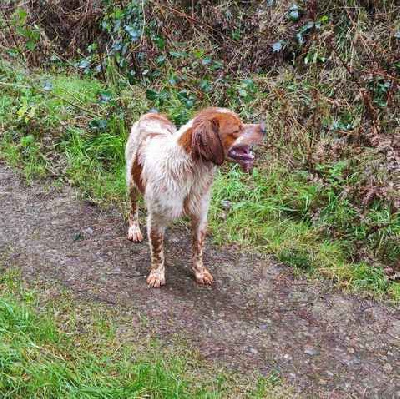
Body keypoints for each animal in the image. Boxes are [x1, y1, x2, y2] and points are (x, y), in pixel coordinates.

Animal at [124, 107, 262, 288]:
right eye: (236, 129)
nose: (263, 128)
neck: (191, 171)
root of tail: (153, 115)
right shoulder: (156, 217)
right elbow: (157, 251)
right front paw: (157, 275)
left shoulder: (200, 215)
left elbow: (198, 249)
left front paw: (200, 273)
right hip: (131, 182)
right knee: (132, 208)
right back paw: (134, 230)